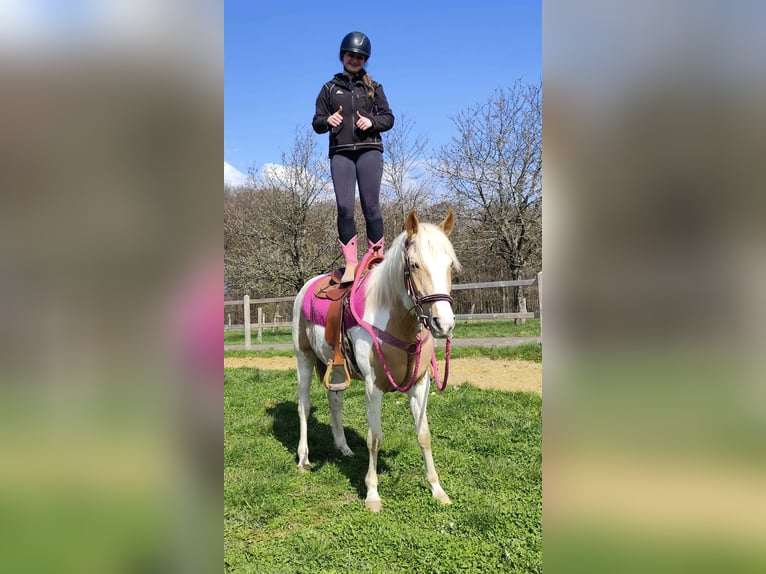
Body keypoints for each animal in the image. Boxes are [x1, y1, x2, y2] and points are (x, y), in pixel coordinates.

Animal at [291, 209, 461, 511]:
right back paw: (304, 459)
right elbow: (374, 438)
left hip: (337, 368)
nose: (444, 323)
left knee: (335, 401)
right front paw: (372, 494)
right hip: (304, 359)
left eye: (450, 265)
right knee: (304, 406)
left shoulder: (421, 385)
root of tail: (308, 286)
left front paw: (437, 489)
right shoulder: (374, 387)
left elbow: (424, 435)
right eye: (414, 265)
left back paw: (343, 447)